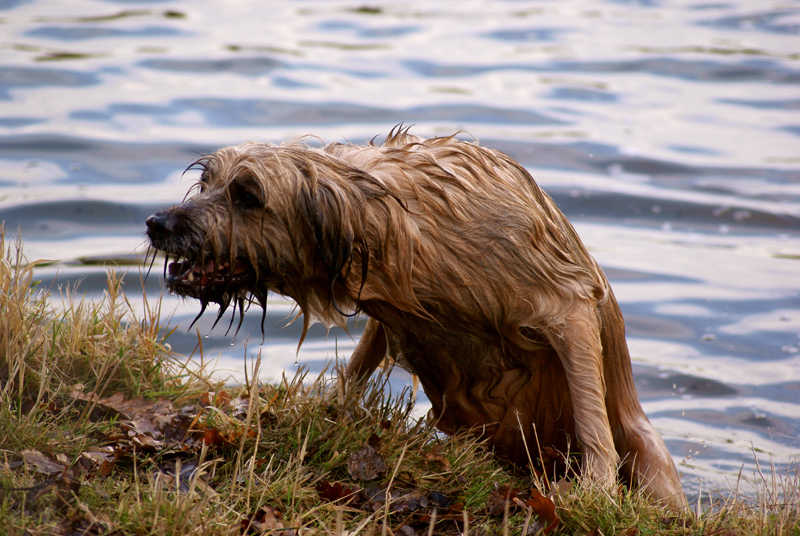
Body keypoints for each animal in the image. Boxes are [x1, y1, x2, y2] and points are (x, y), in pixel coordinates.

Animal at [148, 129, 688, 506]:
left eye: (247, 195)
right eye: (206, 181)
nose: (158, 223)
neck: (392, 222)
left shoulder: (567, 302)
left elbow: (590, 411)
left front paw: (596, 486)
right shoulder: (387, 314)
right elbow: (356, 370)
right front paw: (328, 411)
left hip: (650, 457)